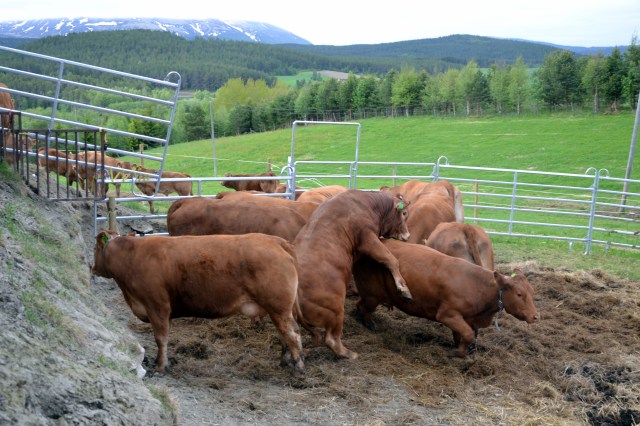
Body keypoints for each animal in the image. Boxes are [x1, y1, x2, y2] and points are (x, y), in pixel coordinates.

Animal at [92, 230, 304, 374]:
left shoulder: (157, 306)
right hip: (279, 310)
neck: (133, 257)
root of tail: (275, 240)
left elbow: (160, 338)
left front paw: (160, 366)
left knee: (292, 334)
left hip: (279, 308)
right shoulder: (165, 311)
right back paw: (285, 360)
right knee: (284, 334)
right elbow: (165, 337)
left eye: (95, 248)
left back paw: (298, 365)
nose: (92, 267)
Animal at [291, 189, 412, 360]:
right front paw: (403, 288)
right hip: (335, 311)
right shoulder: (367, 237)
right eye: (404, 213)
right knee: (331, 340)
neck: (368, 204)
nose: (407, 236)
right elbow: (390, 259)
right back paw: (350, 354)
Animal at [353, 239, 539, 358]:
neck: (478, 285)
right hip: (372, 295)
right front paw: (458, 353)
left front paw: (461, 349)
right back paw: (370, 325)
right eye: (519, 294)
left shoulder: (467, 319)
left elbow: (463, 335)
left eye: (532, 292)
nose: (536, 316)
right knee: (363, 307)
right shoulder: (447, 315)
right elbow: (468, 334)